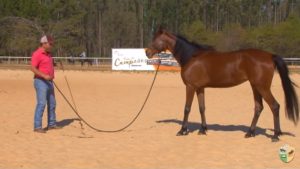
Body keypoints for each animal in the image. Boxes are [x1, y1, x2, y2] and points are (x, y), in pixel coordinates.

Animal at [145, 27, 298, 141]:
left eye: (156, 39)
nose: (147, 52)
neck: (191, 56)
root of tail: (270, 56)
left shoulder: (190, 87)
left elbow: (187, 108)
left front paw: (182, 130)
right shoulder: (200, 88)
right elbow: (202, 108)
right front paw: (203, 130)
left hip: (263, 87)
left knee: (275, 106)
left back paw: (275, 136)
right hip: (255, 87)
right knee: (258, 107)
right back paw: (250, 132)